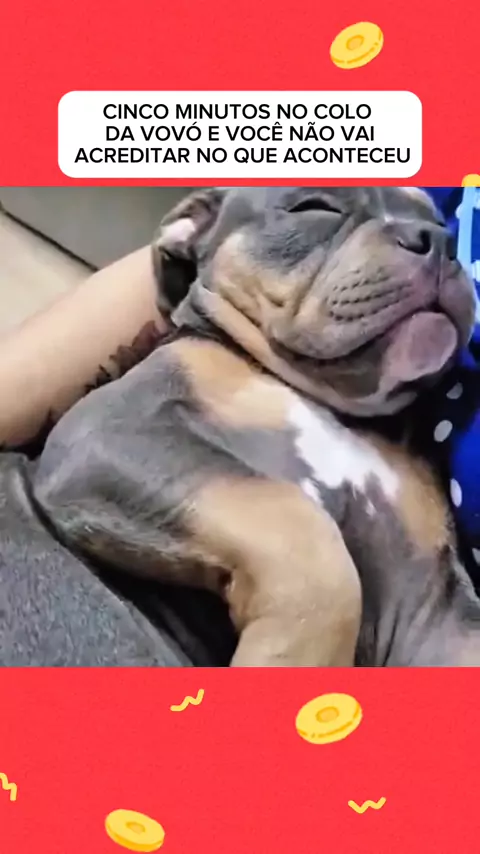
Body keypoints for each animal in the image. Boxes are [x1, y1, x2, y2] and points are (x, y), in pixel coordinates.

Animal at [30, 186, 480, 667]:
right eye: (314, 207)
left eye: (438, 220)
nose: (440, 240)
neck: (331, 403)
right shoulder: (115, 432)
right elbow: (304, 535)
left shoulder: (433, 602)